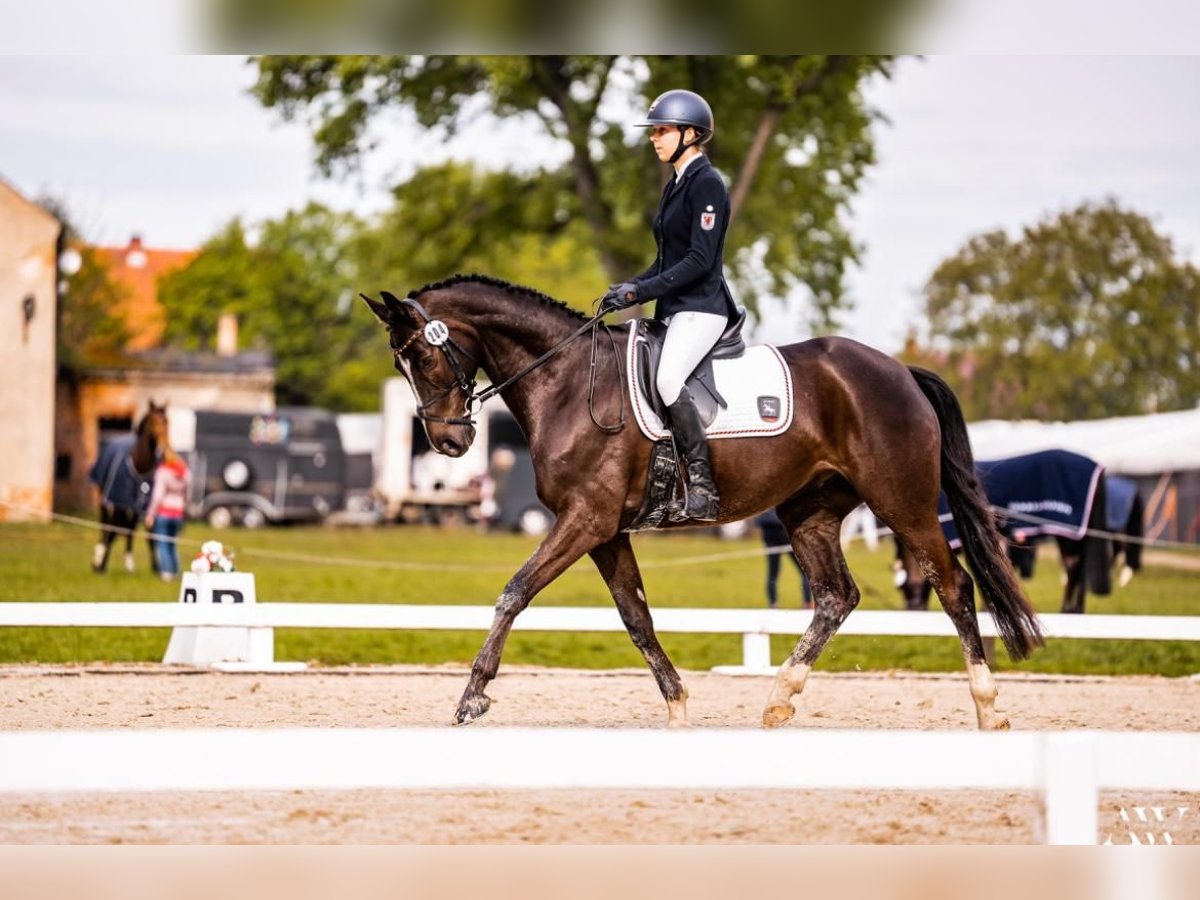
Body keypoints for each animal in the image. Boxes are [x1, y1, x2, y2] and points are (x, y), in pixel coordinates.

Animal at [87, 403, 169, 573]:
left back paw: (128, 562)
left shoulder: (145, 505)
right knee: (106, 526)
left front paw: (157, 568)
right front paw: (100, 564)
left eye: (167, 421)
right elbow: (112, 532)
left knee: (129, 530)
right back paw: (99, 555)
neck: (140, 465)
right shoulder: (119, 502)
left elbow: (150, 535)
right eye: (153, 422)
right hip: (106, 500)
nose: (164, 449)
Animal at [362, 274, 1041, 734]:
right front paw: (678, 705)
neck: (566, 384)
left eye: (422, 355)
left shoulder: (585, 520)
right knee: (835, 596)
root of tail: (899, 369)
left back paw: (988, 709)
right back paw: (779, 698)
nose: (449, 442)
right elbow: (636, 617)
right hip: (808, 511)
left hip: (904, 503)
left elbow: (515, 591)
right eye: (401, 361)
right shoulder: (606, 531)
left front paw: (471, 696)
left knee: (954, 587)